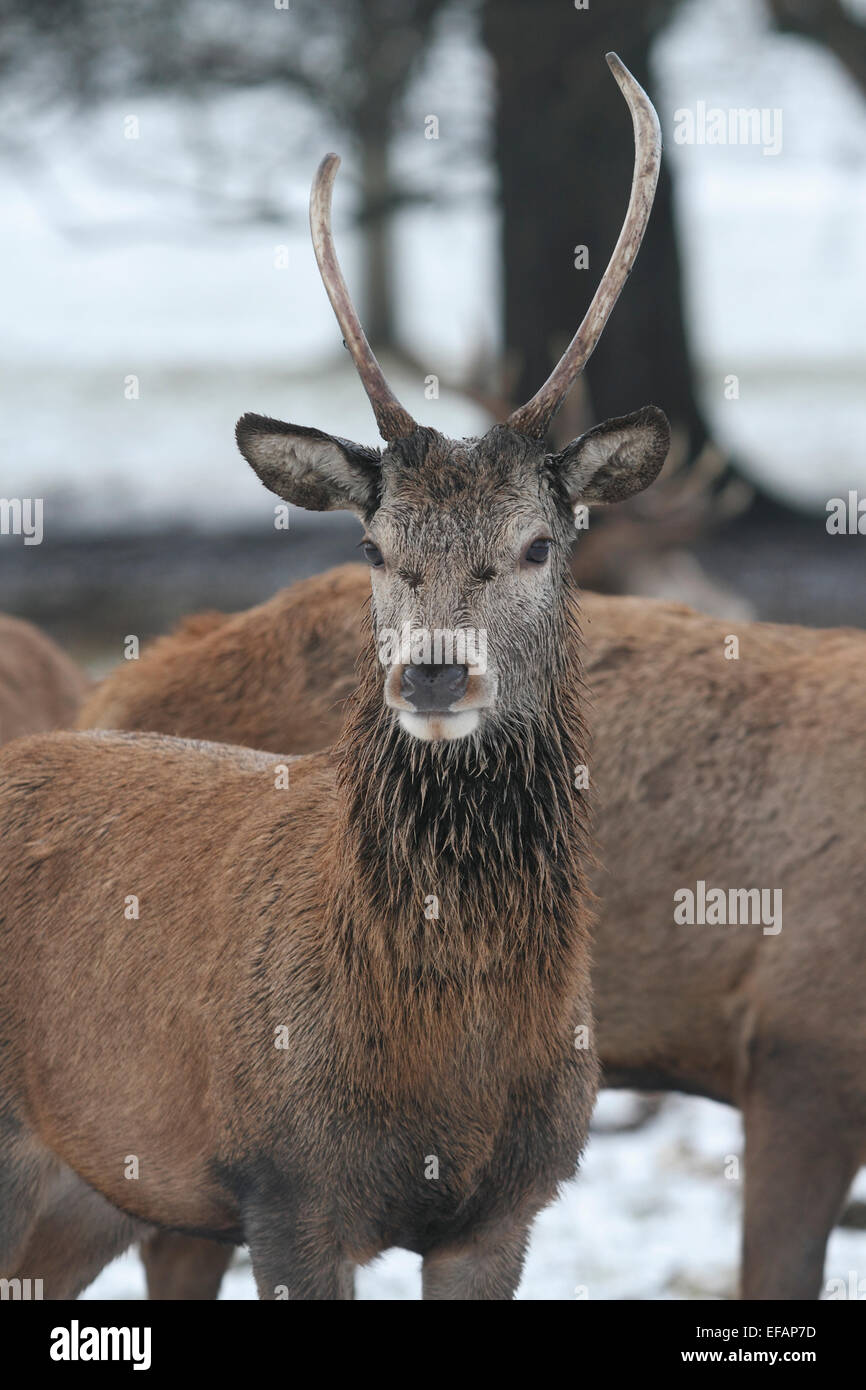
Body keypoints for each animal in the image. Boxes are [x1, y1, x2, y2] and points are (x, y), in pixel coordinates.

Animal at [0, 51, 670, 1289]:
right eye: (372, 545)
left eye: (538, 543)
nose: (435, 678)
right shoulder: (285, 1184)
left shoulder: (509, 1204)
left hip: (99, 1188)